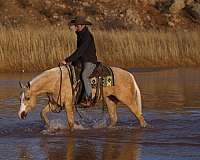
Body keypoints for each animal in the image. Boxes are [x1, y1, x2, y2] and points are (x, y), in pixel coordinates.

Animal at [18, 65, 148, 131]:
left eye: (28, 98)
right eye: (20, 98)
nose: (21, 114)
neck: (56, 81)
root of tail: (129, 75)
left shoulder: (68, 105)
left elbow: (70, 122)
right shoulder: (55, 104)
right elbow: (42, 113)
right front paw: (49, 126)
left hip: (128, 100)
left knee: (139, 116)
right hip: (110, 100)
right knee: (114, 118)